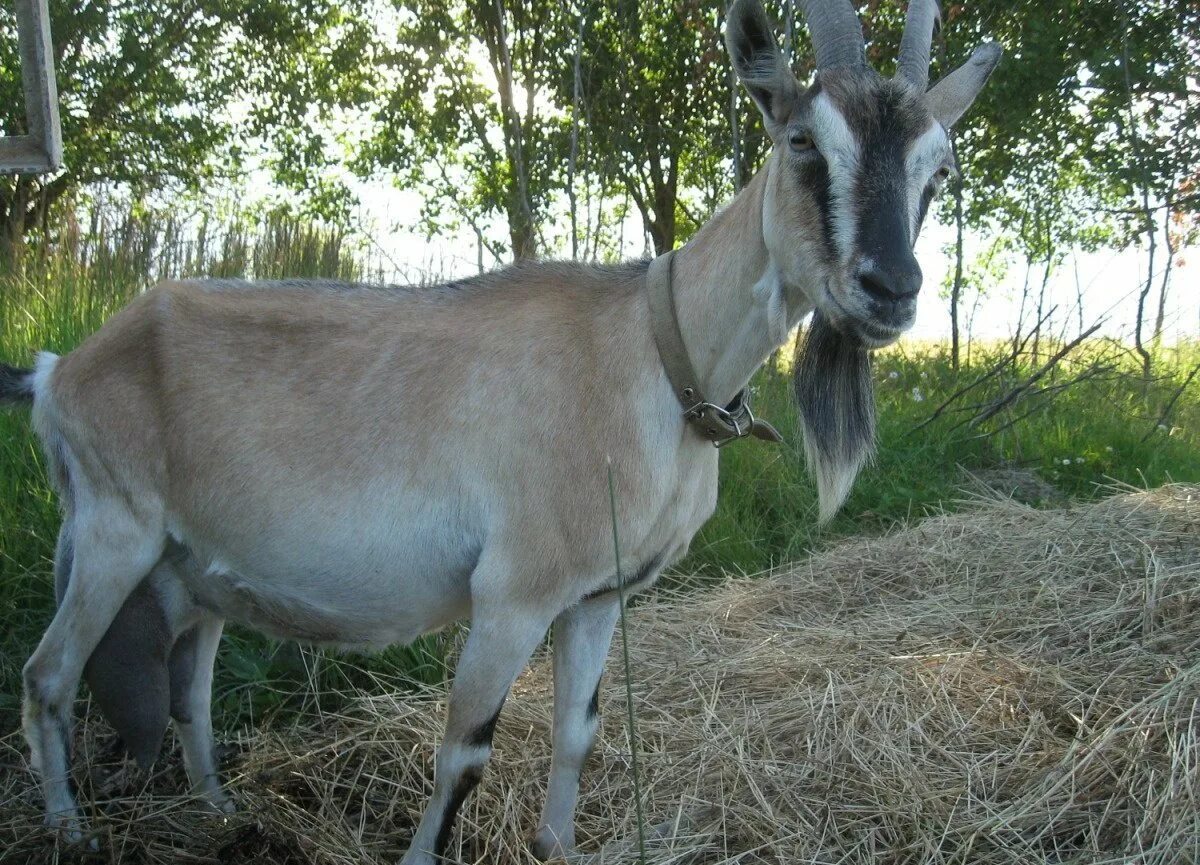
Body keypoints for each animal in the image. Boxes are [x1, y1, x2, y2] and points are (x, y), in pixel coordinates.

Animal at [0, 3, 998, 859]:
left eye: (938, 168)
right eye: (802, 141)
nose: (890, 289)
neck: (654, 349)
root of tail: (60, 368)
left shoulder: (597, 597)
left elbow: (577, 731)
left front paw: (558, 845)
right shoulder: (515, 593)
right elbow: (465, 750)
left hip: (195, 569)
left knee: (189, 691)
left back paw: (216, 808)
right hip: (114, 532)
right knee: (47, 675)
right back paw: (70, 830)